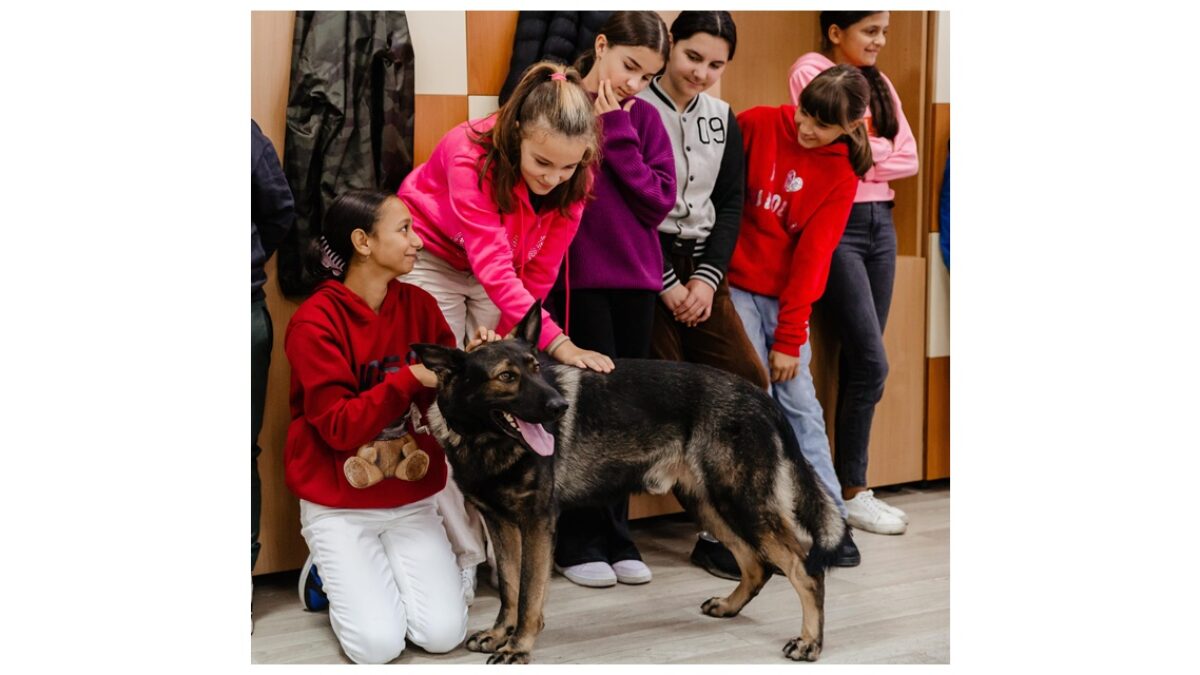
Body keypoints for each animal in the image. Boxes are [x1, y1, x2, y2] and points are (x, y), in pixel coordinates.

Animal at [417, 302, 849, 658]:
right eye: (507, 376)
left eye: (536, 368)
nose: (561, 407)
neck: (484, 441)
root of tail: (761, 397)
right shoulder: (502, 525)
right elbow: (509, 588)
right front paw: (498, 634)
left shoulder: (537, 524)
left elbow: (528, 594)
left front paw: (519, 645)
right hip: (709, 505)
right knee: (758, 566)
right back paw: (729, 607)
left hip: (742, 504)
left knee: (805, 570)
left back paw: (810, 642)